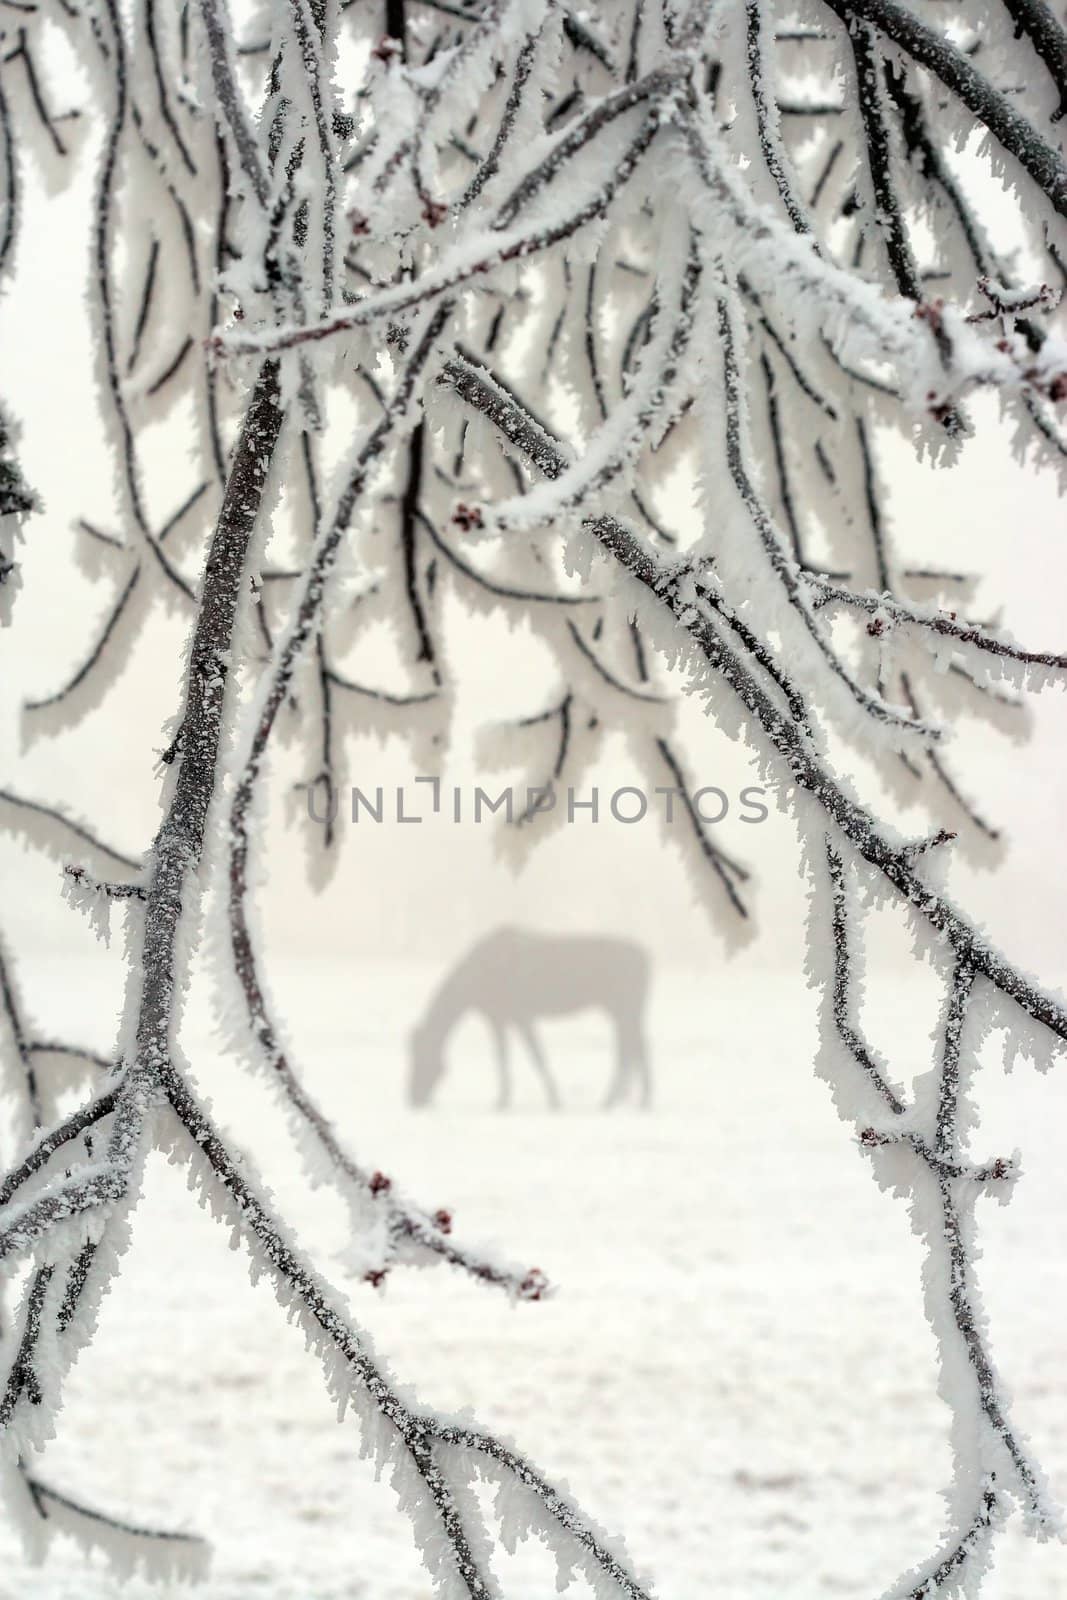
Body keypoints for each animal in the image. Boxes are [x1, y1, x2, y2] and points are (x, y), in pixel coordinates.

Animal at [406, 928, 652, 1113]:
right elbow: (503, 1058)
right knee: (635, 1048)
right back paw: (636, 1099)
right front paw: (503, 1098)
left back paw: (619, 1100)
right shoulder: (498, 1019)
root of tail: (648, 959)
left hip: (624, 1008)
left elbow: (536, 1055)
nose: (412, 1098)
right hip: (624, 1011)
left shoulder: (520, 1015)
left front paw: (553, 1099)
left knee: (631, 1049)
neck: (476, 979)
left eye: (421, 1057)